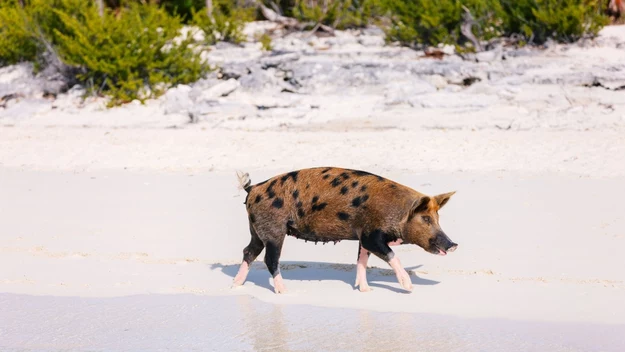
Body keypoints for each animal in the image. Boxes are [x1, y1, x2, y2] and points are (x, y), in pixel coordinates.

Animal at [232, 166, 456, 292]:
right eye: (426, 218)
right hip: (273, 230)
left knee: (249, 251)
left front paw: (365, 290)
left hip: (256, 229)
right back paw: (284, 291)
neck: (398, 212)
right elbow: (392, 256)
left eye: (437, 218)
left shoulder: (363, 235)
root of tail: (253, 188)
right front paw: (408, 288)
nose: (453, 244)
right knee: (269, 259)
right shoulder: (372, 237)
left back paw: (236, 285)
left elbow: (362, 260)